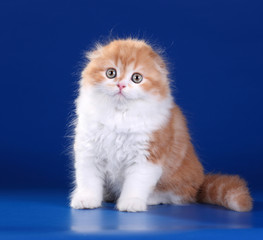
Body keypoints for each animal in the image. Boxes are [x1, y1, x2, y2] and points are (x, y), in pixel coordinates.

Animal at [70, 39, 254, 212]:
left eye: (136, 78)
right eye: (111, 73)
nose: (121, 85)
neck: (118, 116)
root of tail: (201, 182)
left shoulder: (147, 156)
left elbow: (136, 184)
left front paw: (131, 203)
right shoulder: (89, 150)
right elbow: (88, 181)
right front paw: (86, 200)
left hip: (179, 180)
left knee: (176, 196)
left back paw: (151, 199)